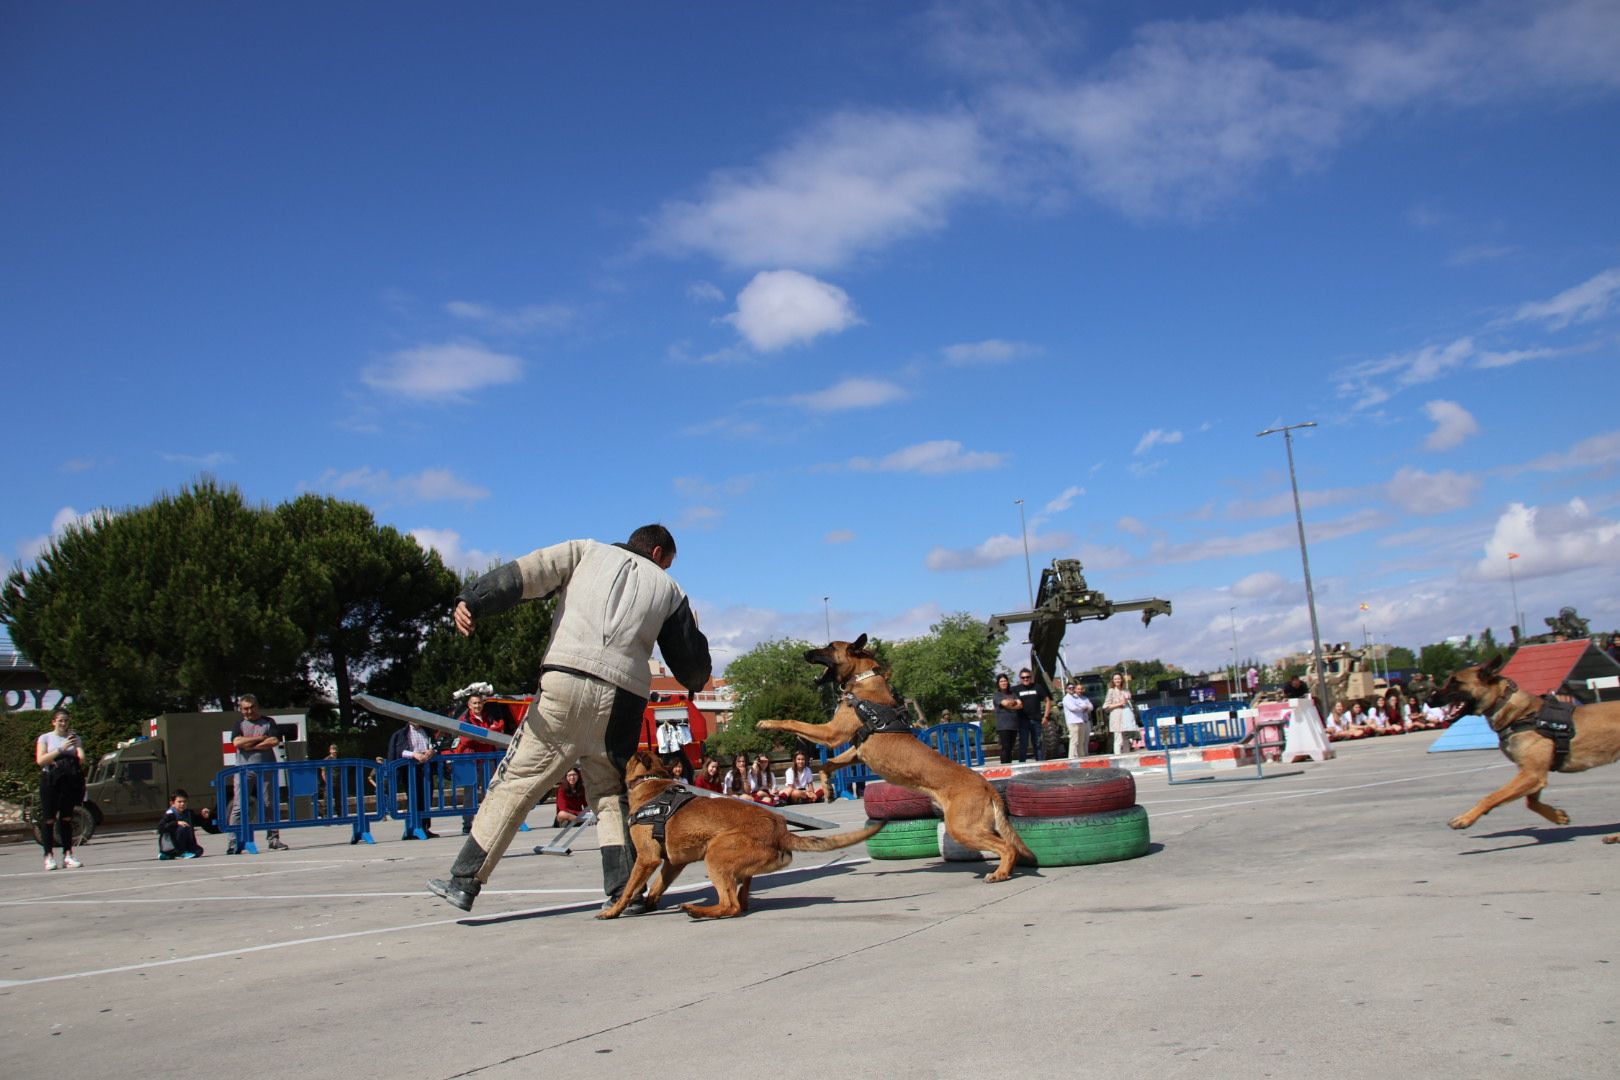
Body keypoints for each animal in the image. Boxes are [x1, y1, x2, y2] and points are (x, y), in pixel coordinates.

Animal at [596, 751, 881, 919]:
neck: (651, 780)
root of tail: (780, 828)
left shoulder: (647, 858)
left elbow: (629, 889)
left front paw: (614, 911)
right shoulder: (673, 863)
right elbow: (658, 886)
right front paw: (649, 903)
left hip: (715, 856)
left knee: (730, 905)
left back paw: (697, 910)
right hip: (737, 868)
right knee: (741, 903)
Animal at [758, 634, 1036, 880]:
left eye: (829, 647)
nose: (805, 653)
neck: (863, 681)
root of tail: (988, 786)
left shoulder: (832, 733)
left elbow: (793, 722)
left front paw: (767, 722)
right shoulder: (855, 750)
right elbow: (828, 763)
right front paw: (826, 788)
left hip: (962, 827)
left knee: (1006, 846)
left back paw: (1000, 873)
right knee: (1006, 843)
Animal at [1432, 654, 1620, 841]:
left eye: (1455, 682)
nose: (1428, 698)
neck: (1520, 714)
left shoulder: (1532, 774)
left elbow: (1491, 797)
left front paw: (1465, 818)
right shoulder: (1532, 773)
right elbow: (1531, 802)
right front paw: (1556, 815)